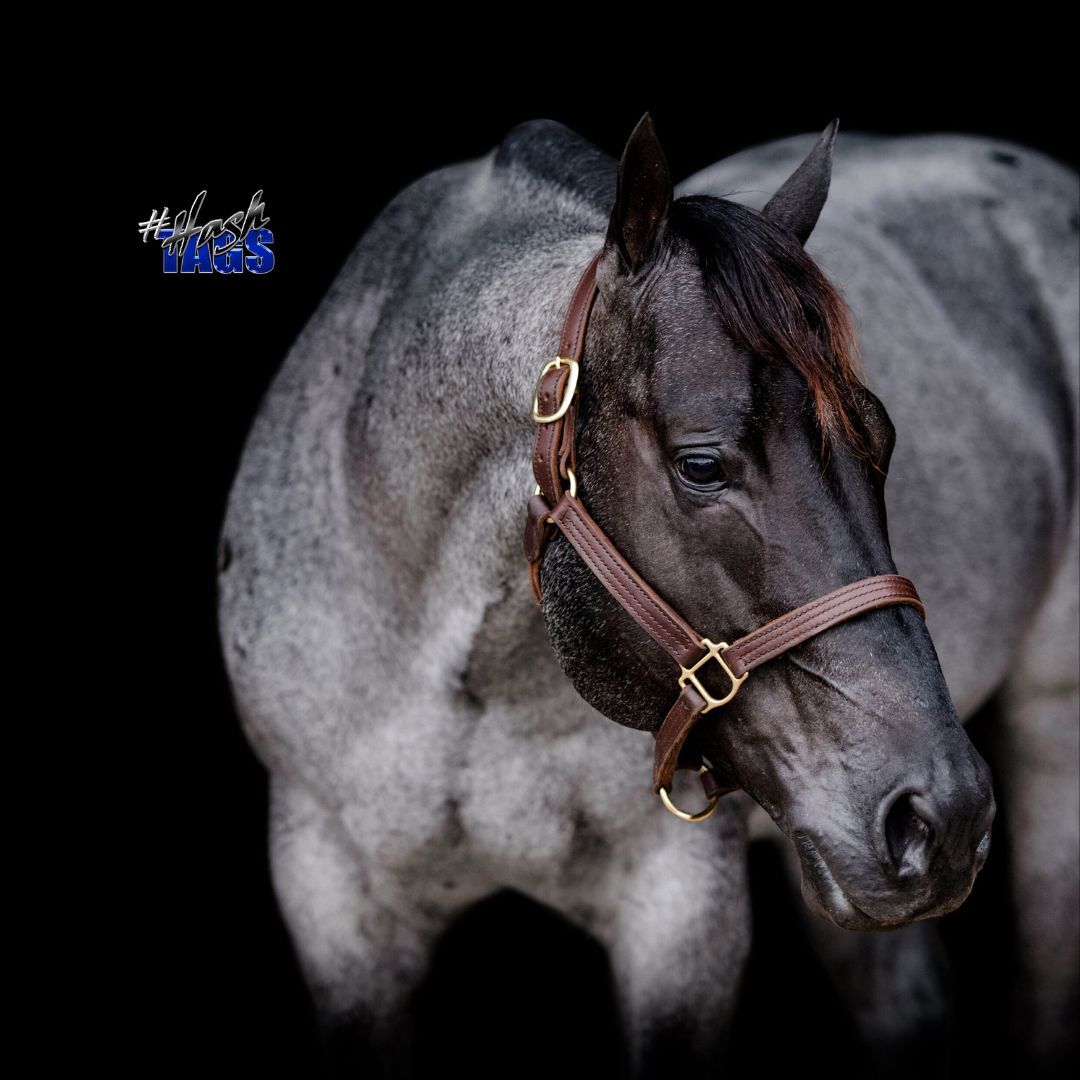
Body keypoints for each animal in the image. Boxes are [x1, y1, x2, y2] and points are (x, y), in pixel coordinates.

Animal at [216, 113, 1078, 1077]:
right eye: (700, 465)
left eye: (881, 439)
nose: (945, 814)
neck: (469, 676)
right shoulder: (335, 900)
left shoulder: (679, 913)